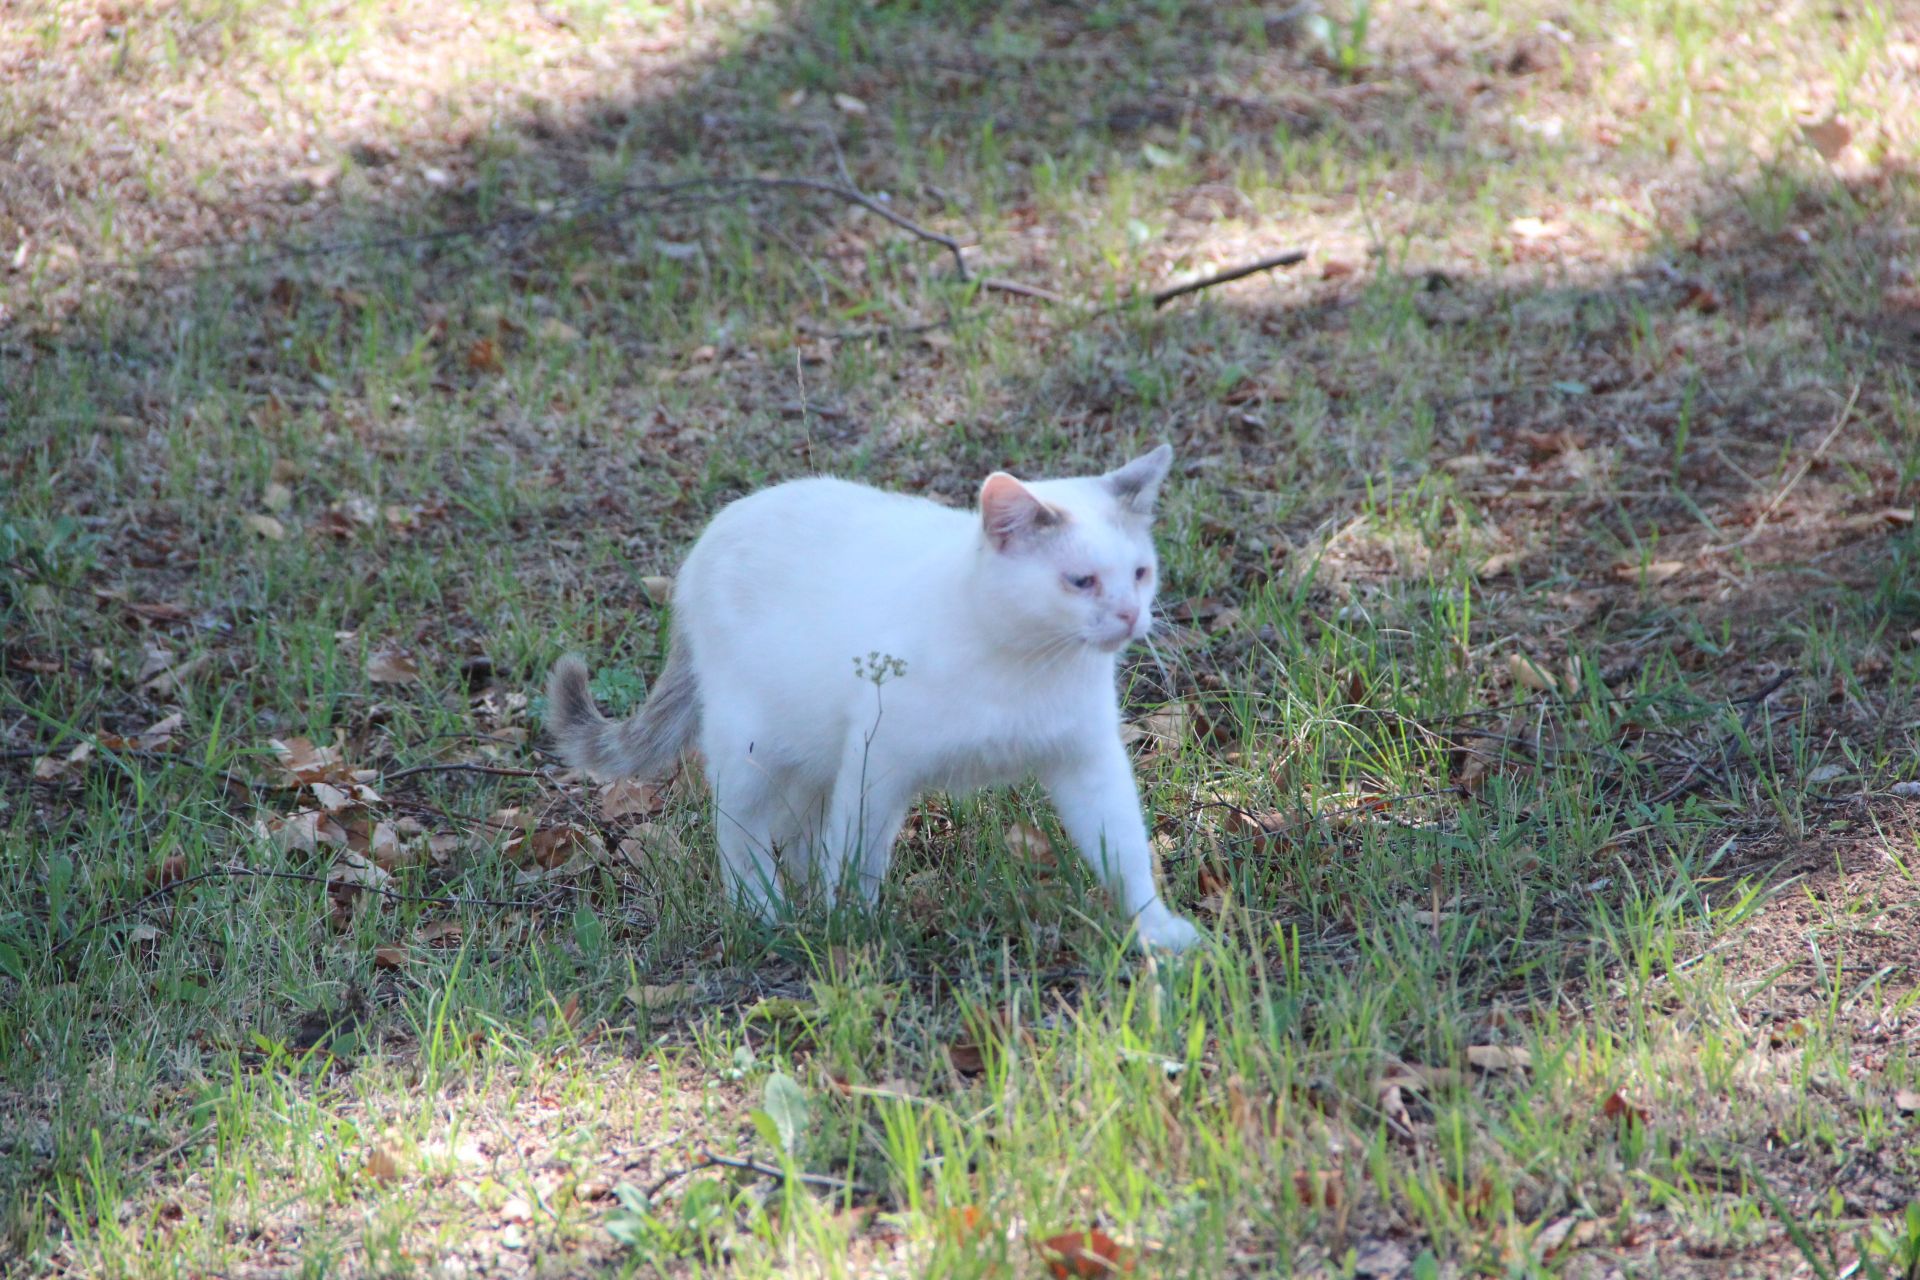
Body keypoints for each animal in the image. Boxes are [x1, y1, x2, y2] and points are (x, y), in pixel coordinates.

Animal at [545, 443, 1198, 951]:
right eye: (1081, 581)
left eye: (1140, 573)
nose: (1130, 614)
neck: (1027, 663)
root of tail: (715, 531)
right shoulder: (876, 765)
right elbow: (858, 858)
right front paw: (854, 933)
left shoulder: (1089, 762)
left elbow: (1125, 851)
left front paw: (1157, 933)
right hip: (751, 750)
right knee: (740, 836)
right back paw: (765, 913)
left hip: (809, 753)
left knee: (798, 831)